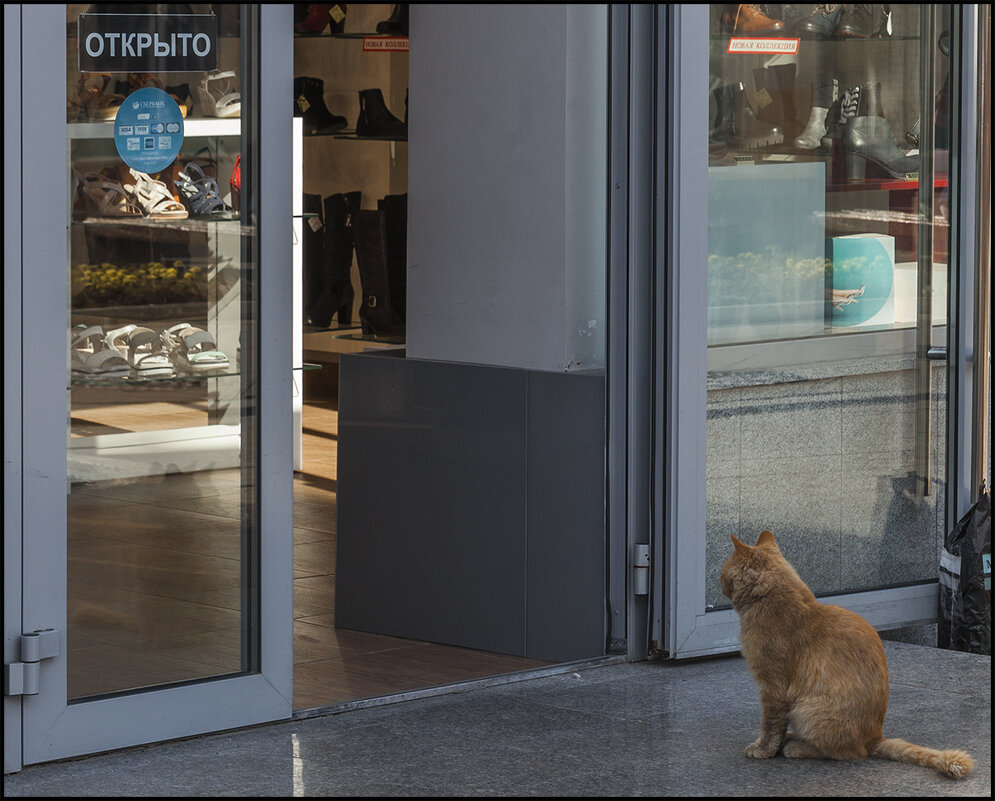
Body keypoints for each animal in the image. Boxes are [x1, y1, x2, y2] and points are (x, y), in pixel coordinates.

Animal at [720, 528, 976, 780]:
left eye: (722, 572)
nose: (719, 584)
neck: (772, 595)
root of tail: (875, 737)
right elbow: (776, 726)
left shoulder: (773, 686)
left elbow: (770, 725)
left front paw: (763, 749)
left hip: (806, 709)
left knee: (846, 753)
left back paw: (796, 746)